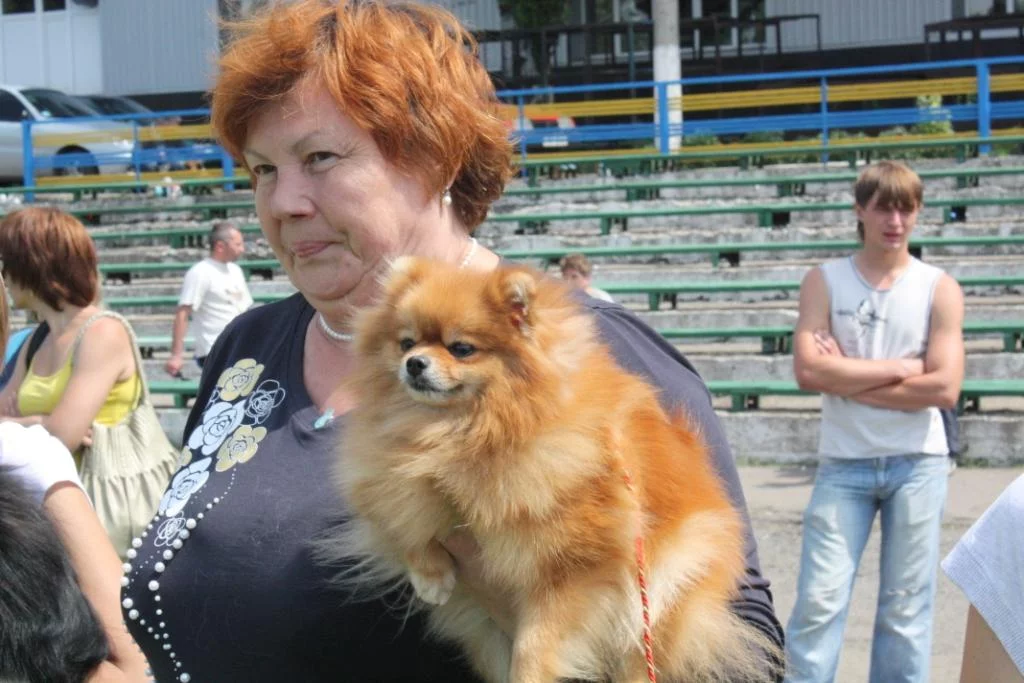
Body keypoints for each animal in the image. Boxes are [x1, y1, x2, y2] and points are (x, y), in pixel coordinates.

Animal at [329, 257, 779, 683]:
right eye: (406, 342)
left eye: (461, 348)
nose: (414, 363)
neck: (462, 432)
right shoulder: (389, 479)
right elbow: (404, 520)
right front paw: (430, 575)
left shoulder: (571, 567)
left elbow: (535, 644)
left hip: (669, 580)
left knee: (640, 654)